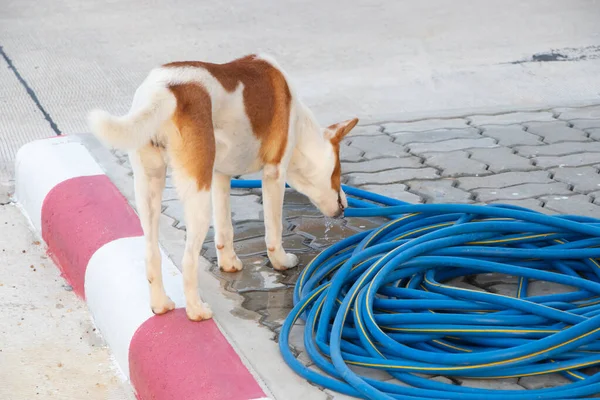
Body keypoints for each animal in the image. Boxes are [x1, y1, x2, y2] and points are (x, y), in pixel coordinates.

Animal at [87, 54, 358, 322]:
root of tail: (164, 90)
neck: (300, 124)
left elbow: (224, 230)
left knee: (151, 254)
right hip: (198, 198)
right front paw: (281, 261)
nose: (346, 204)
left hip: (149, 189)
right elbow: (274, 231)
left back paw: (161, 305)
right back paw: (196, 310)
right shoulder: (274, 175)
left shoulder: (220, 176)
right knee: (188, 260)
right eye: (338, 170)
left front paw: (228, 263)